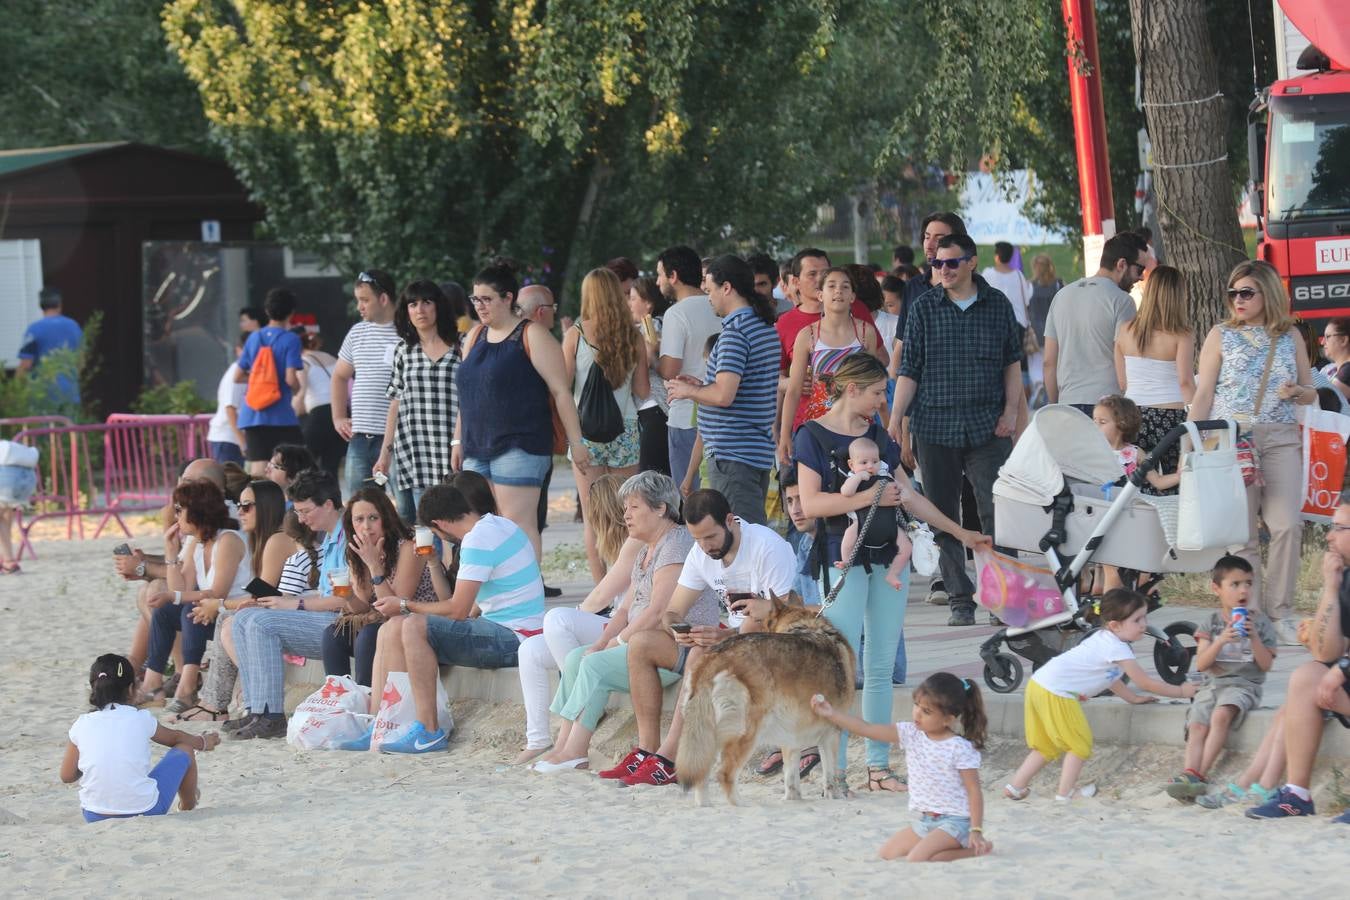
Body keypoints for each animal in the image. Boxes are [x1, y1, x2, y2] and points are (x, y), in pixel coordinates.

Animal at [675, 593, 853, 804]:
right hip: (747, 732)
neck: (806, 626)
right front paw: (835, 796)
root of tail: (714, 655)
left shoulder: (791, 738)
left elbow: (791, 778)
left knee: (702, 777)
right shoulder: (831, 733)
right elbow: (830, 775)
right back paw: (740, 805)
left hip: (708, 735)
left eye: (763, 622)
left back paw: (707, 806)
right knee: (724, 774)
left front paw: (792, 799)